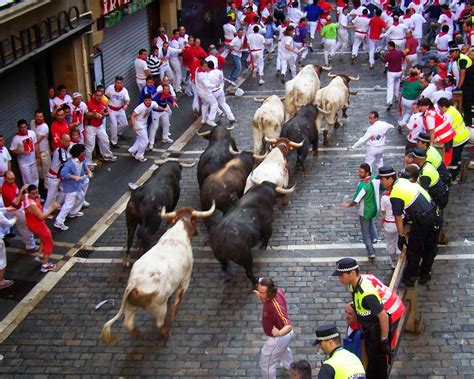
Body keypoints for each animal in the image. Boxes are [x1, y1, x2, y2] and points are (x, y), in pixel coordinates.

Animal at [103, 203, 218, 346]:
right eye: (194, 220)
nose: (197, 232)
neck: (178, 232)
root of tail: (135, 283)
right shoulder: (185, 280)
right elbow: (177, 301)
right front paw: (173, 314)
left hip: (131, 305)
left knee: (128, 323)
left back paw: (138, 335)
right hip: (159, 307)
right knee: (159, 323)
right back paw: (166, 332)